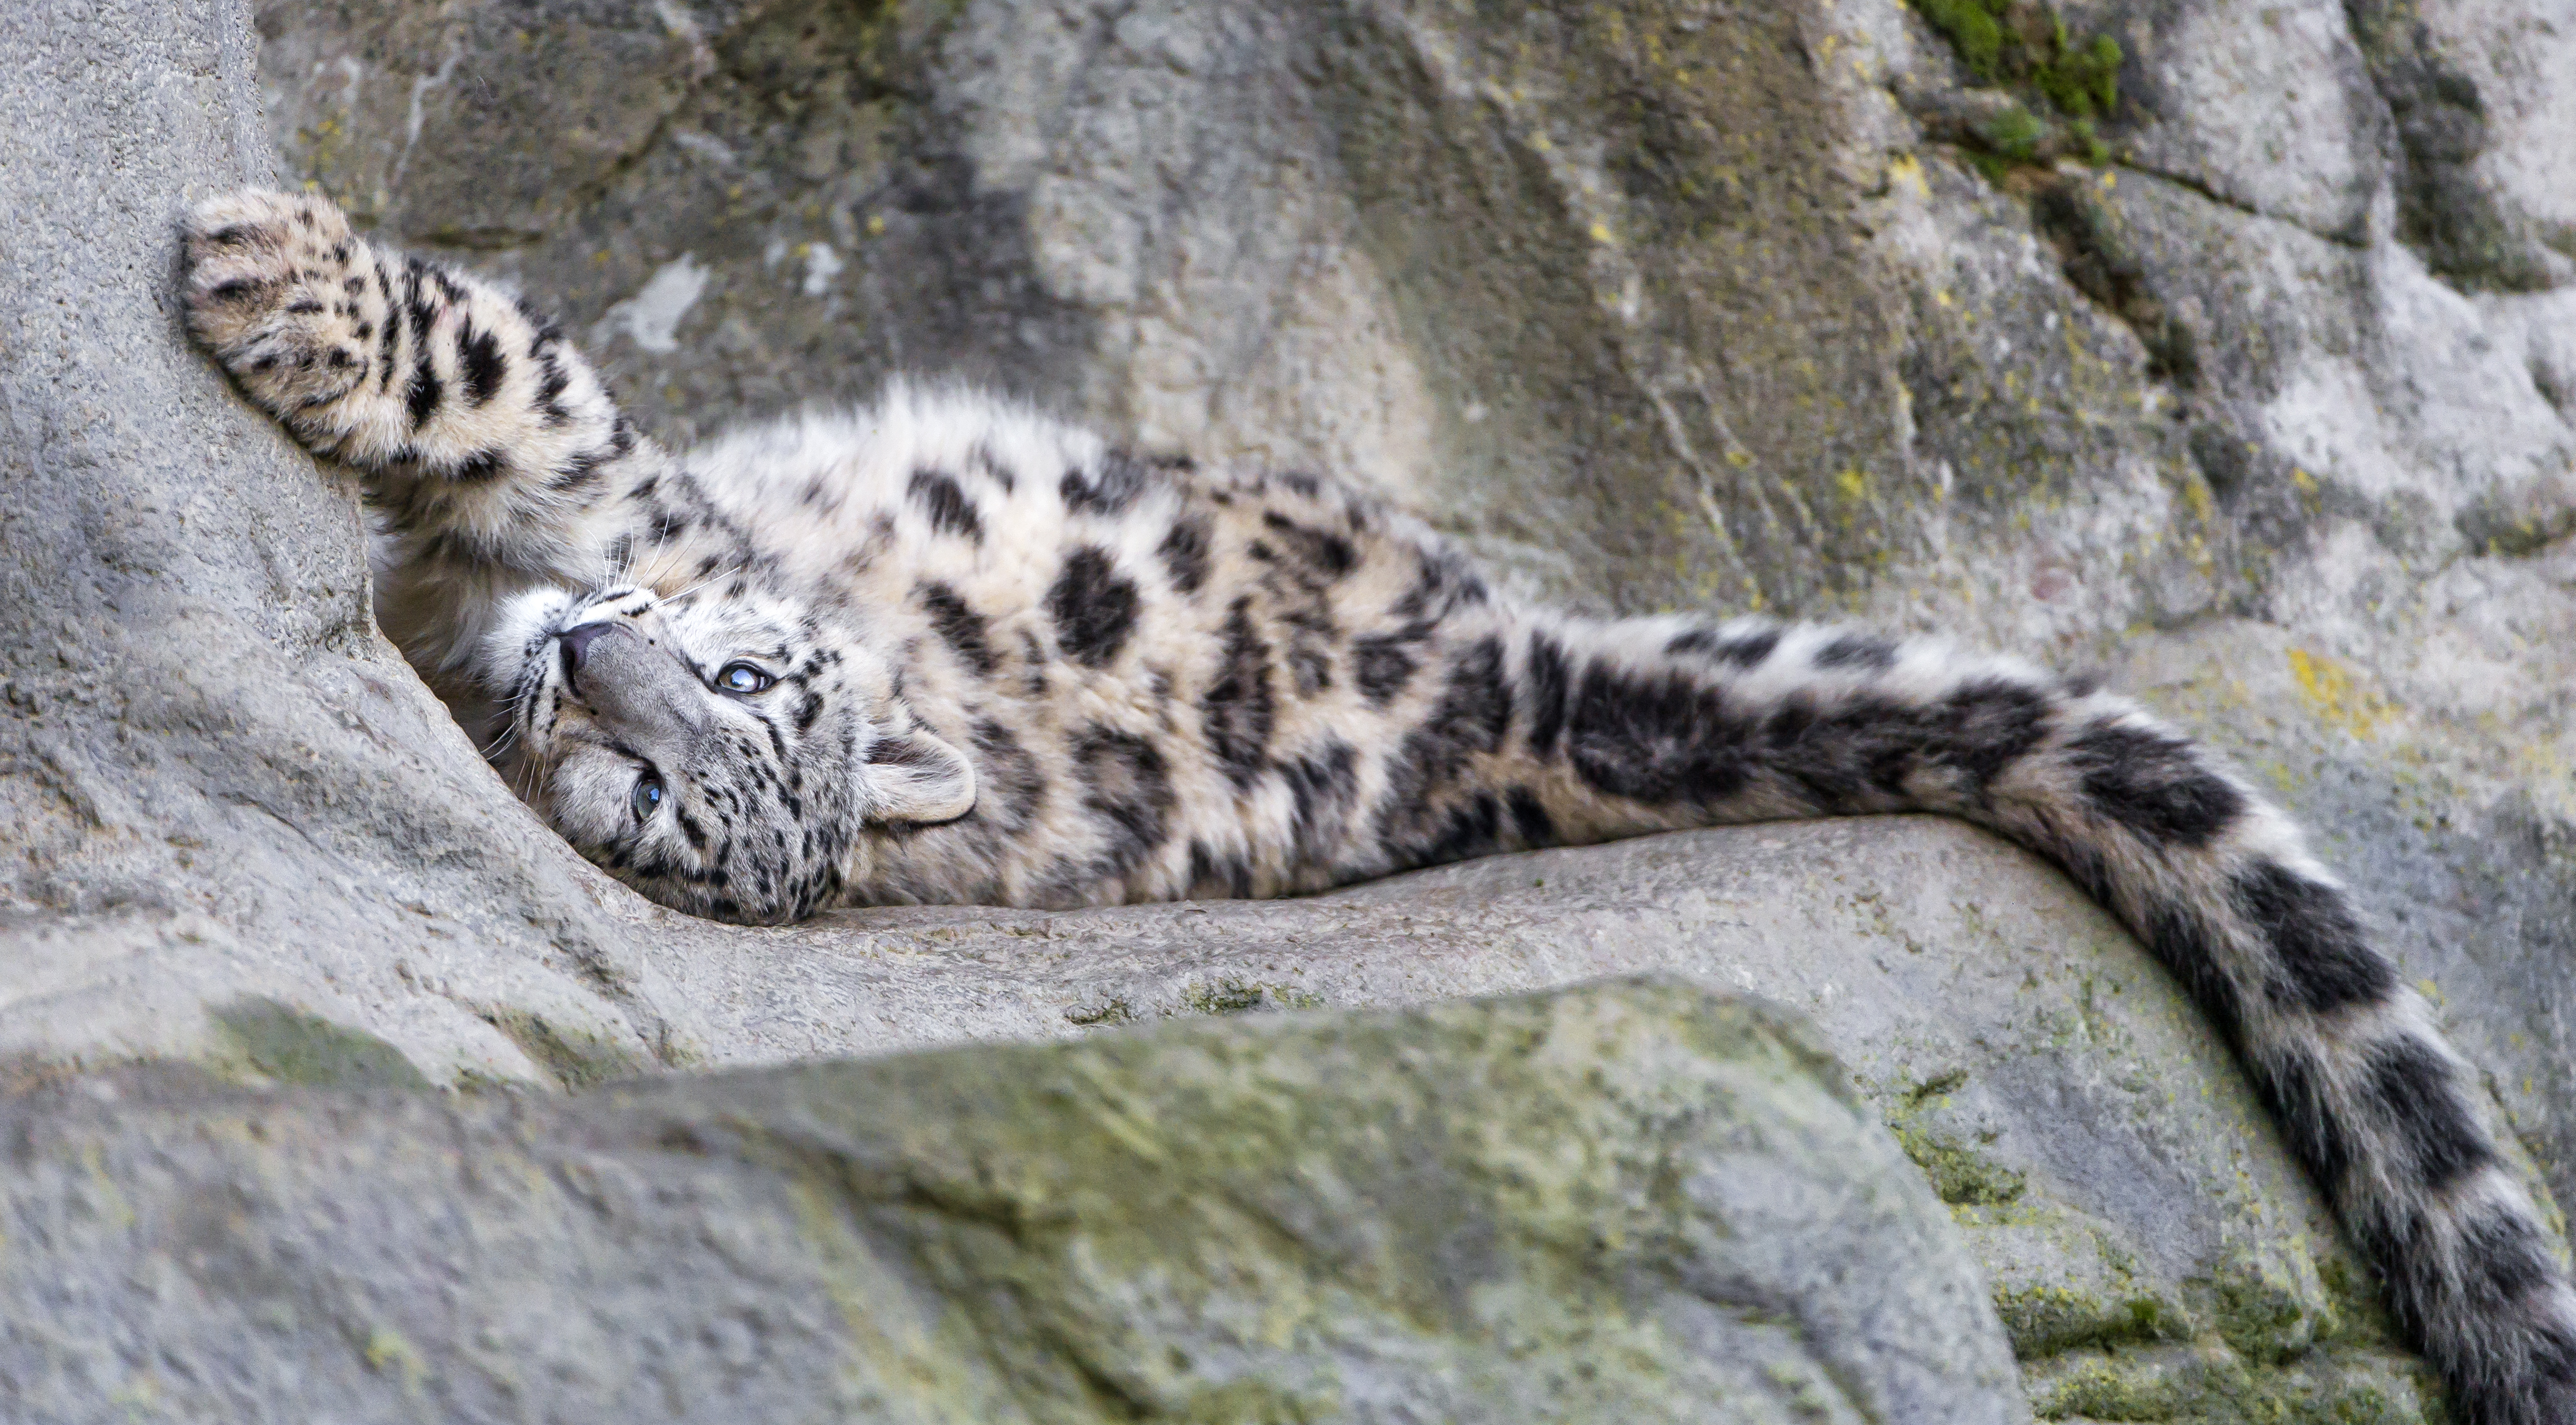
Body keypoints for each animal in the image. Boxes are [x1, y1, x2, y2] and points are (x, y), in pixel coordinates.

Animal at [186, 185, 2576, 1412]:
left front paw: (260, 270)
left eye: (708, 752)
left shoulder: (609, 492)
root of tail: (1494, 691)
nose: (590, 666)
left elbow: (499, 371)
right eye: (718, 683)